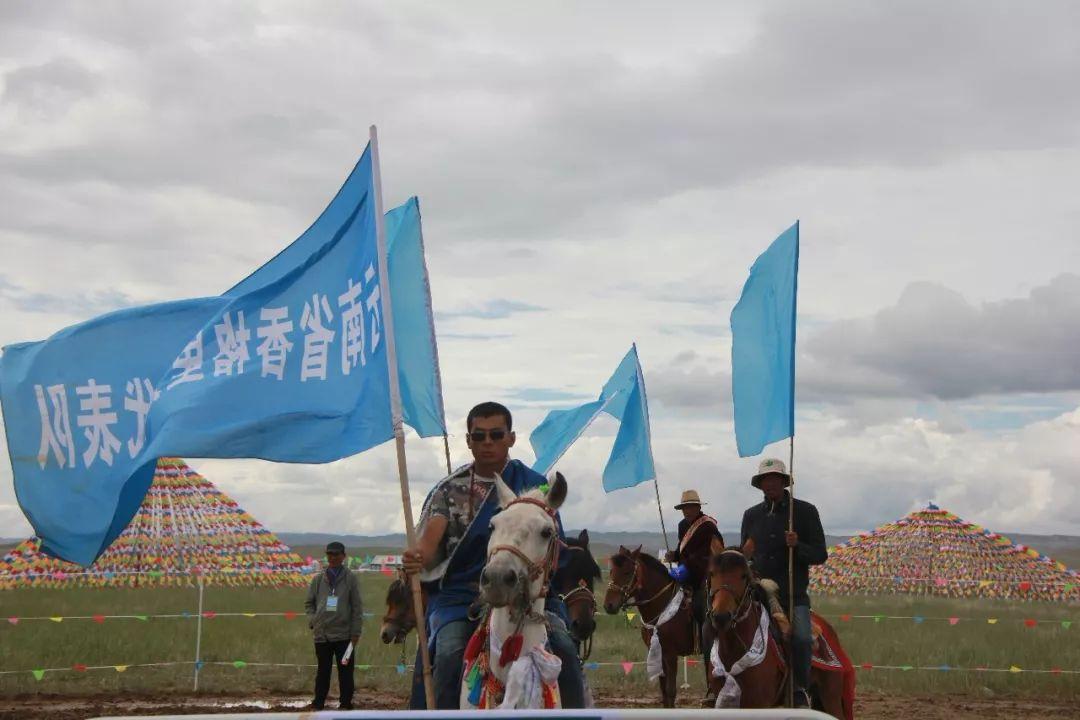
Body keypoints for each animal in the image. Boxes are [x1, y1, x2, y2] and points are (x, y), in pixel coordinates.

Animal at [604, 548, 695, 708]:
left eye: (627, 572)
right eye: (611, 571)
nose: (609, 605)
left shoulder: (671, 655)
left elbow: (670, 691)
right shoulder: (660, 654)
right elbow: (664, 692)